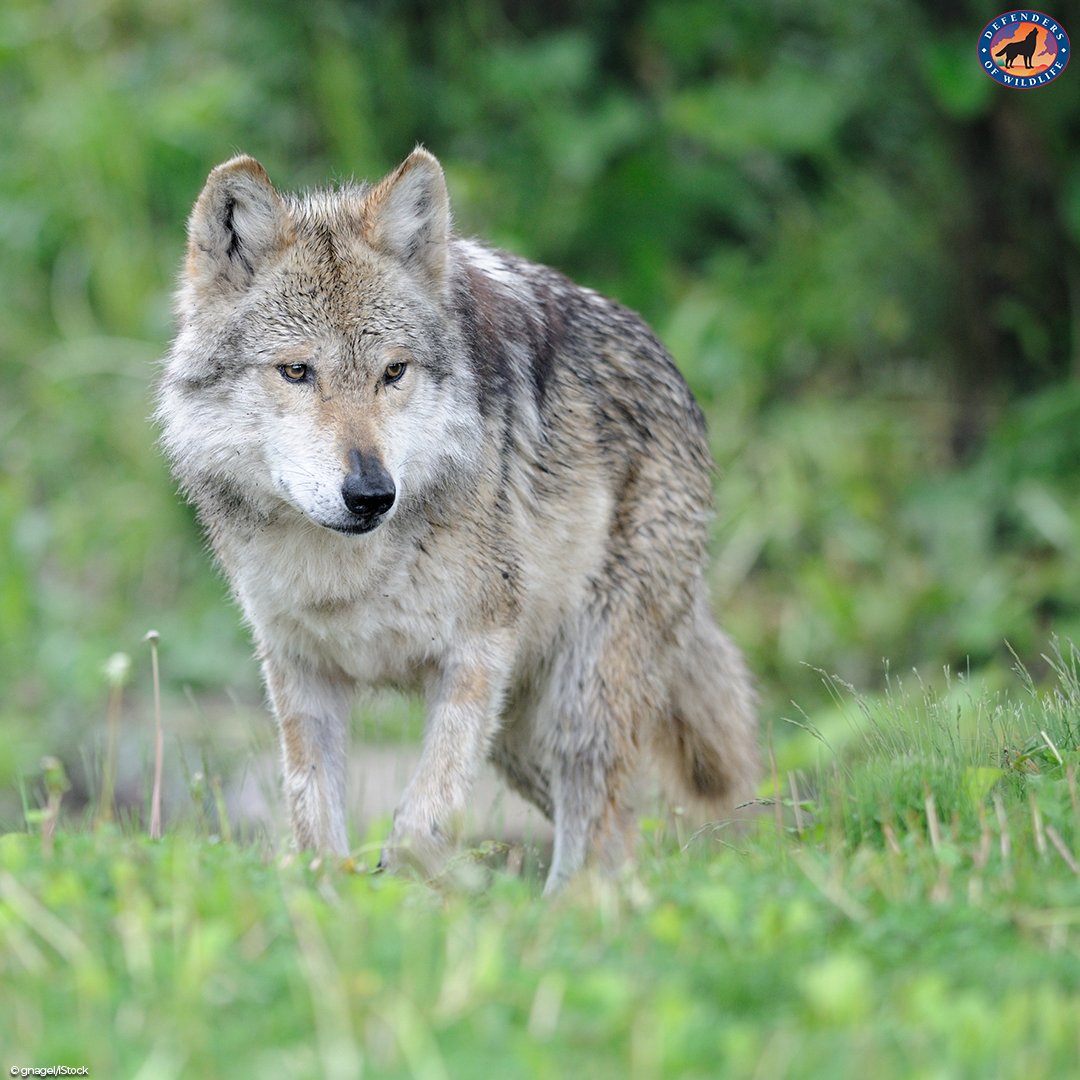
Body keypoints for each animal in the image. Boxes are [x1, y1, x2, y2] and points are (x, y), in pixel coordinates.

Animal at [158, 148, 758, 893]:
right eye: (297, 371)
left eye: (393, 372)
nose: (371, 494)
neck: (347, 573)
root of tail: (670, 367)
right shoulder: (301, 671)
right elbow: (312, 824)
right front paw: (334, 899)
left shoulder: (478, 652)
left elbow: (420, 825)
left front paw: (411, 889)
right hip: (521, 736)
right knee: (616, 829)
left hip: (580, 697)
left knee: (598, 813)